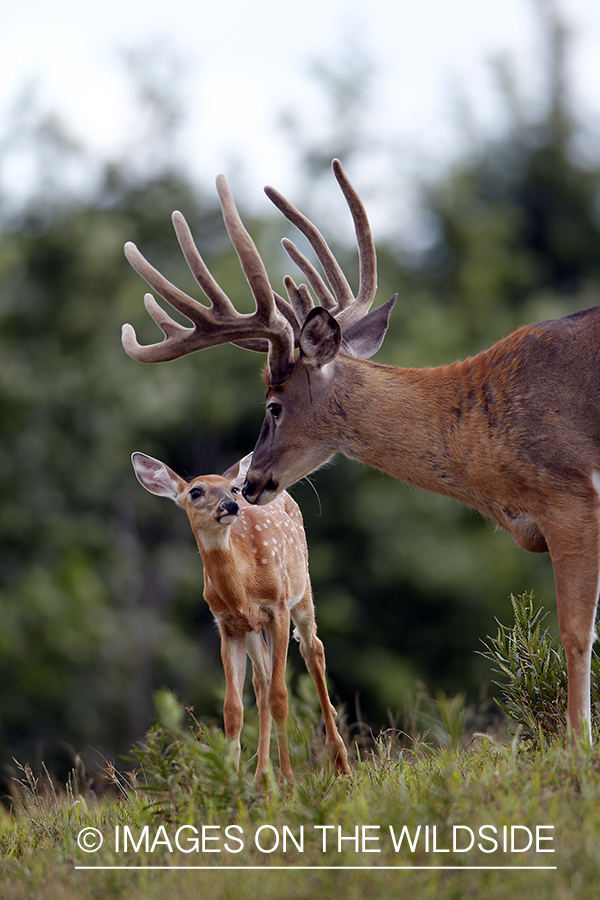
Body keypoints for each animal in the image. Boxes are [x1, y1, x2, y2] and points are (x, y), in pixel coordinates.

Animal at [131, 450, 350, 784]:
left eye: (232, 489)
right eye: (196, 492)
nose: (231, 505)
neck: (244, 585)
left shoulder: (277, 607)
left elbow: (280, 696)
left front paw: (288, 780)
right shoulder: (228, 625)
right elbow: (233, 708)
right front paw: (231, 780)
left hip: (302, 587)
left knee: (312, 650)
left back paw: (339, 762)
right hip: (253, 628)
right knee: (261, 681)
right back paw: (261, 777)